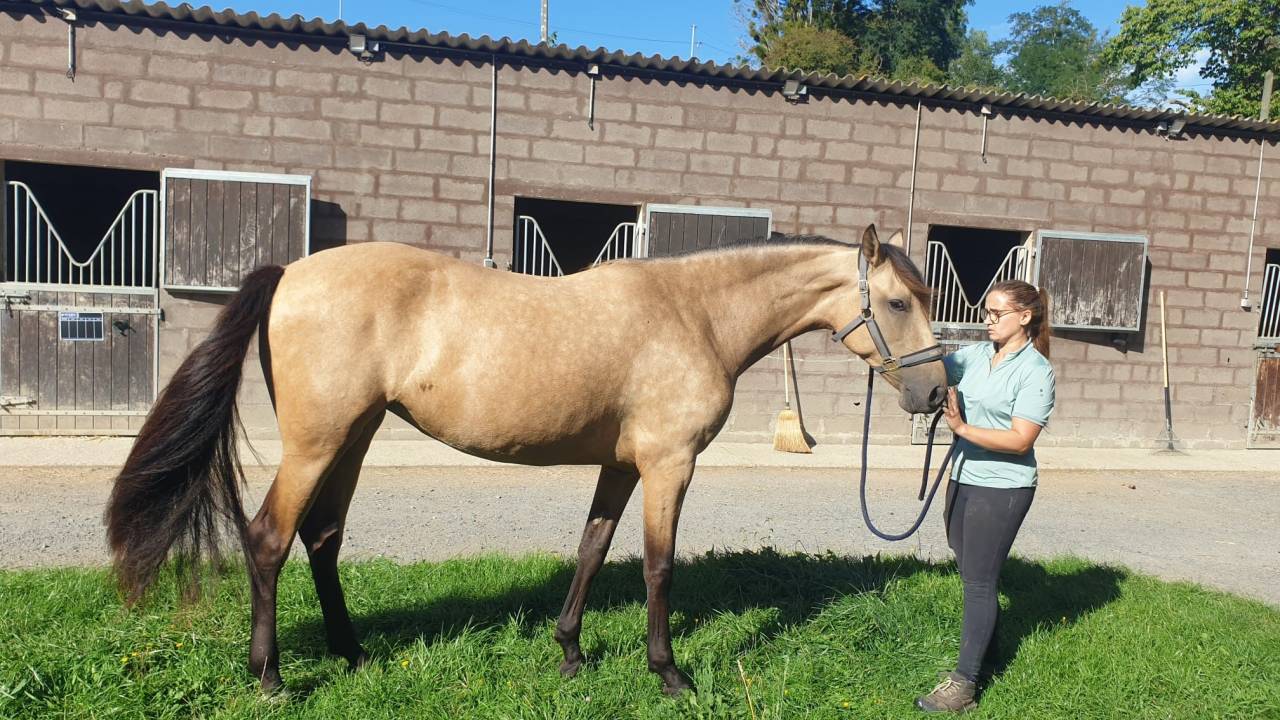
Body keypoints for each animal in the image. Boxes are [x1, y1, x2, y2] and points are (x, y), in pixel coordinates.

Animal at [104, 223, 947, 695]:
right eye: (898, 302)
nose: (935, 393)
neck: (696, 313)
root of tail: (289, 274)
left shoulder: (622, 464)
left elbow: (593, 547)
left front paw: (570, 652)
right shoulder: (668, 464)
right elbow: (657, 566)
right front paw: (669, 672)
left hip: (355, 436)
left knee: (323, 539)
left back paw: (352, 653)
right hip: (316, 445)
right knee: (269, 540)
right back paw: (272, 677)